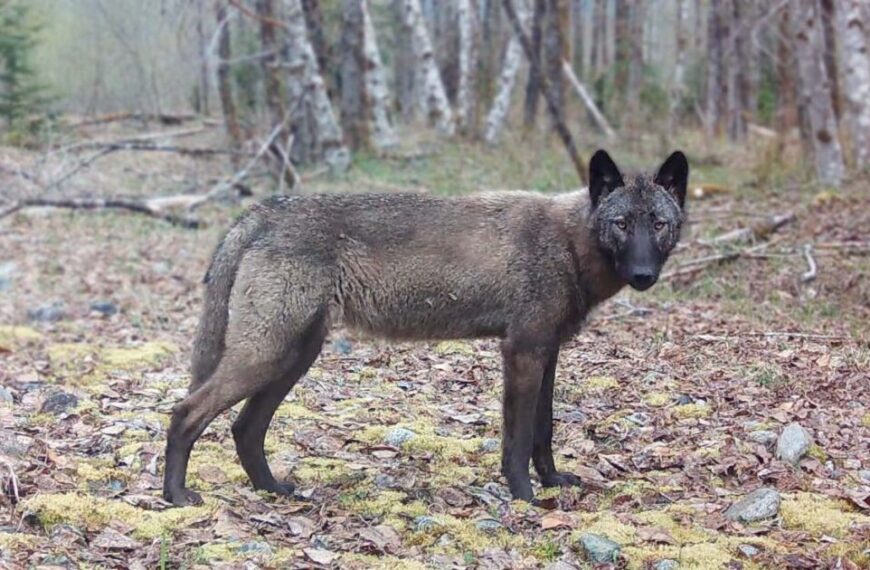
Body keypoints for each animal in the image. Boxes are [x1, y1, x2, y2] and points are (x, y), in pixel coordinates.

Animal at [162, 150, 688, 506]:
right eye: (622, 224)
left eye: (658, 224)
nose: (644, 274)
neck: (568, 243)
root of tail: (264, 210)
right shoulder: (522, 353)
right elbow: (517, 440)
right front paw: (525, 497)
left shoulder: (547, 353)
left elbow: (543, 432)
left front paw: (554, 482)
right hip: (268, 355)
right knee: (185, 412)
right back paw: (176, 498)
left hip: (293, 358)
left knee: (244, 429)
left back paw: (272, 489)